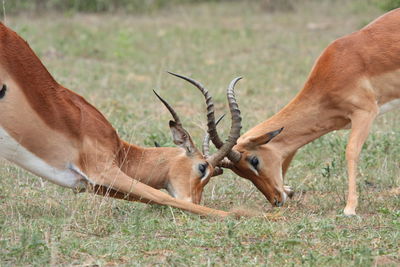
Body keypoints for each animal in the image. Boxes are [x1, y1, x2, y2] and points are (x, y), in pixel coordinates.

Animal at [0, 22, 242, 219]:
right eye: (202, 168)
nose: (194, 199)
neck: (119, 150)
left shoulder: (92, 184)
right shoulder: (103, 171)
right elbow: (162, 197)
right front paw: (242, 215)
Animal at [205, 9, 400, 217]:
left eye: (254, 160)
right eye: (239, 172)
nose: (276, 200)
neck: (334, 71)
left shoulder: (365, 113)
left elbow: (351, 152)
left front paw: (350, 208)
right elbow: (290, 152)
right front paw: (289, 190)